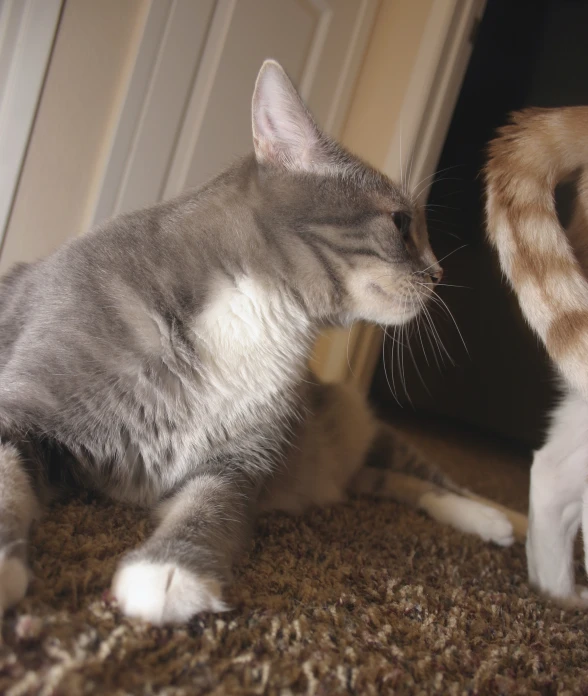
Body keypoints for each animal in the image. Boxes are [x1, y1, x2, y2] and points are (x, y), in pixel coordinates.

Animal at [0, 61, 520, 624]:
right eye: (401, 223)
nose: (440, 273)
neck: (258, 314)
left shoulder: (242, 463)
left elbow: (212, 508)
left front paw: (168, 572)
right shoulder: (25, 411)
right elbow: (7, 477)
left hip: (358, 423)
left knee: (430, 476)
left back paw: (503, 521)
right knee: (390, 481)